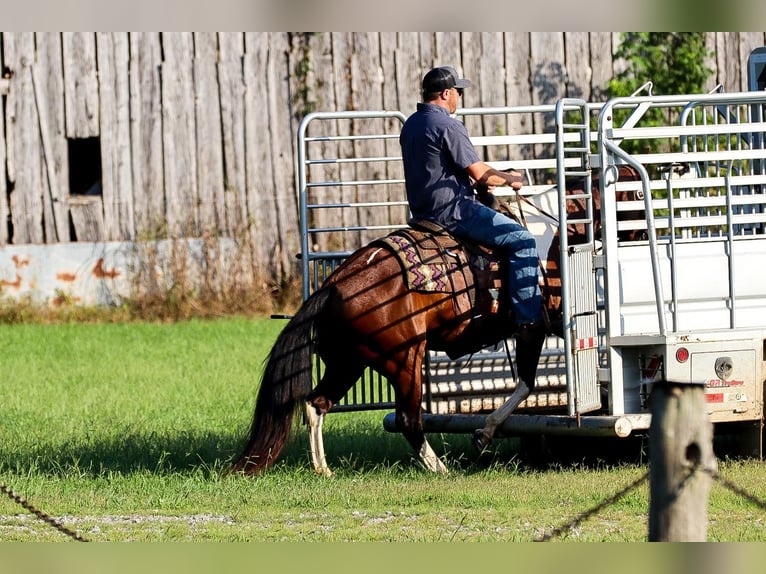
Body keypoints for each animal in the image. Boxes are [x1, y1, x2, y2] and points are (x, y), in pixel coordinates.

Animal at [231, 164, 644, 474]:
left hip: (348, 362)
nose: (637, 237)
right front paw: (484, 433)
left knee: (316, 403)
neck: (558, 234)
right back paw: (439, 468)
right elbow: (526, 382)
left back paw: (324, 469)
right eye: (638, 194)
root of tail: (333, 285)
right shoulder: (537, 327)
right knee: (409, 419)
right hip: (405, 360)